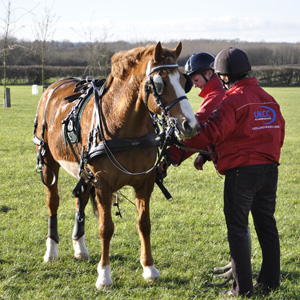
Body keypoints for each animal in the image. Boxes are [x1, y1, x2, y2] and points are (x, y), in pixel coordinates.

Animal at [33, 41, 199, 288]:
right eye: (160, 83)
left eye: (184, 81)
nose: (190, 125)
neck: (123, 124)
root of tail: (53, 87)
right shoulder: (103, 184)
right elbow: (106, 227)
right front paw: (104, 275)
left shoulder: (145, 183)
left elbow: (144, 223)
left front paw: (149, 268)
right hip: (48, 162)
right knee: (53, 202)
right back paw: (51, 250)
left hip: (84, 172)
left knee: (80, 200)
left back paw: (79, 246)